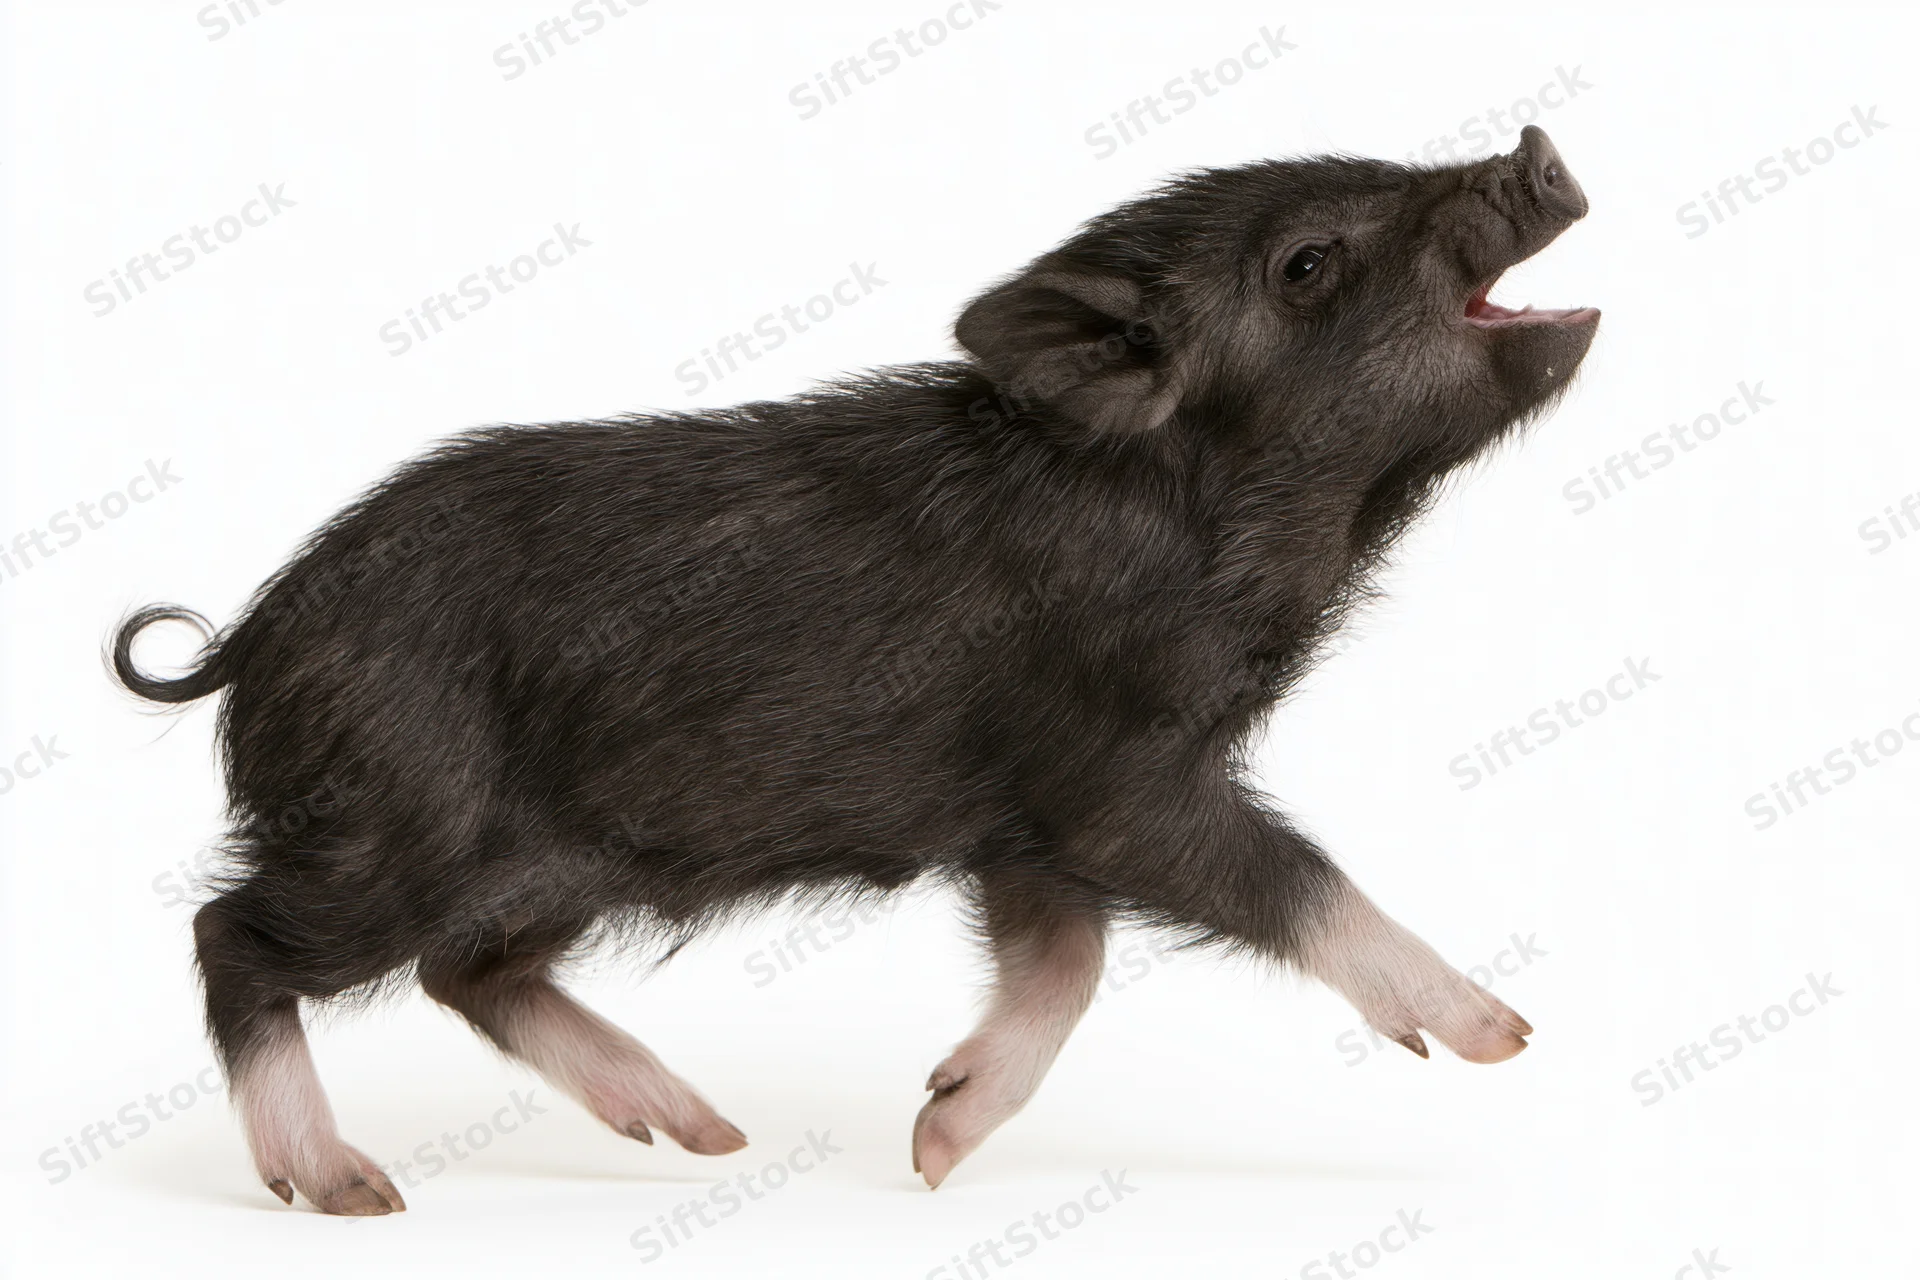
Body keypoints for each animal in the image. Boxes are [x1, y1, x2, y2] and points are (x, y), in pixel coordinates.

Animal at [112, 124, 1597, 1213]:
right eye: (1306, 264)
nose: (1537, 146)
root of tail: (258, 630)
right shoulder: (1109, 778)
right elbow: (1282, 877)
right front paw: (1504, 1034)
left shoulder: (1019, 824)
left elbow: (1065, 960)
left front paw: (934, 1148)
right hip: (394, 822)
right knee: (234, 935)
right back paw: (350, 1191)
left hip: (555, 862)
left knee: (467, 971)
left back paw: (703, 1135)